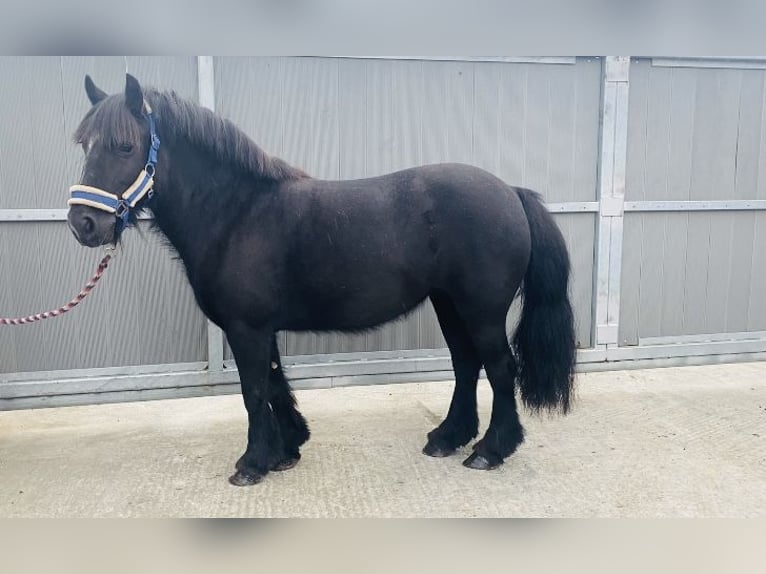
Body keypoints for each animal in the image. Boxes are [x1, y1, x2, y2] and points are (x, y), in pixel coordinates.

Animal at [69, 71, 580, 486]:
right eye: (84, 144)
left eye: (124, 146)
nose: (83, 224)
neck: (238, 213)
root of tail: (510, 192)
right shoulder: (260, 329)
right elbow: (275, 383)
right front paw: (287, 449)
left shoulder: (246, 329)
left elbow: (254, 390)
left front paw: (252, 463)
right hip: (449, 305)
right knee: (466, 366)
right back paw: (448, 438)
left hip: (482, 310)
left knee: (500, 368)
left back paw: (491, 450)